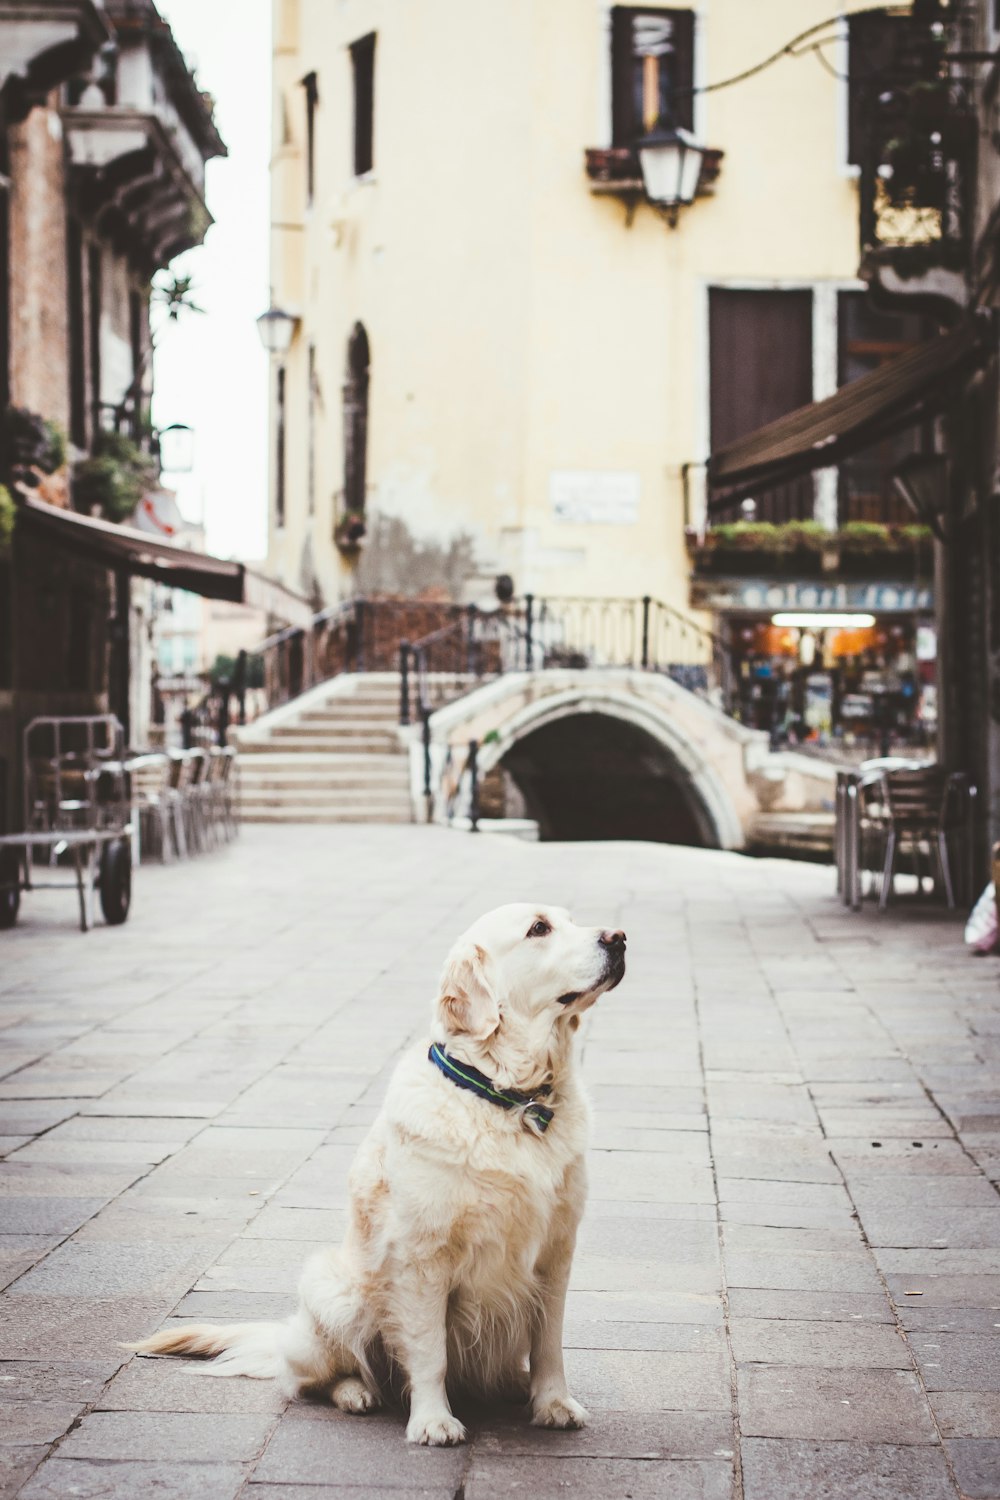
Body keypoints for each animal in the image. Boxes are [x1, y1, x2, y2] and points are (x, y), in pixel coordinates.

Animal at [128, 900, 620, 1440]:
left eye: (569, 920)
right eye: (538, 929)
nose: (619, 938)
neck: (510, 1100)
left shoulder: (556, 1251)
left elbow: (549, 1344)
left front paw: (553, 1403)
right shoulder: (423, 1256)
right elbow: (429, 1352)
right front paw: (432, 1421)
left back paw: (512, 1384)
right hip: (334, 1293)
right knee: (308, 1379)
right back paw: (356, 1394)